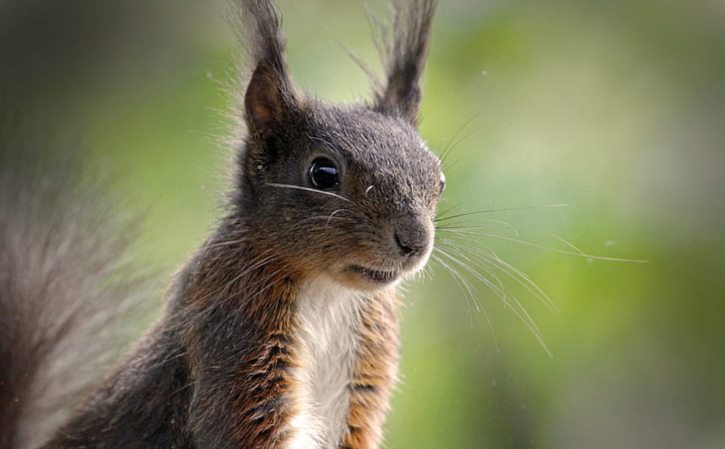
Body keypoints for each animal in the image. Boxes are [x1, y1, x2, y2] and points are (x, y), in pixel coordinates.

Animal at [0, 0, 442, 448]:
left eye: (437, 179)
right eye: (323, 174)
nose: (414, 241)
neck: (328, 291)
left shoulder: (364, 377)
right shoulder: (230, 334)